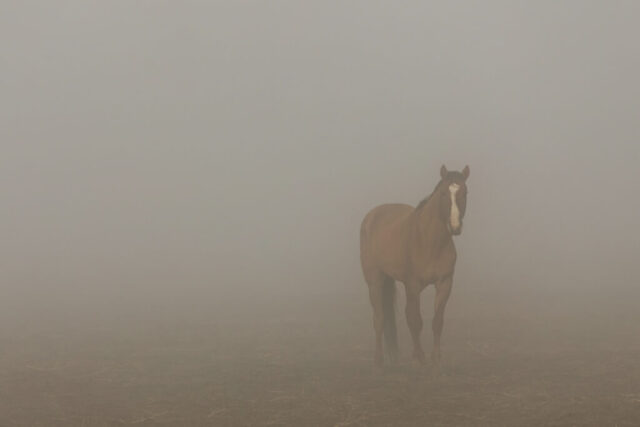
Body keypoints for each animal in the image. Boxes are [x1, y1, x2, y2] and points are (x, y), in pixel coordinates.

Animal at [360, 164, 470, 369]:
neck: (430, 241)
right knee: (379, 318)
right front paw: (420, 357)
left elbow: (437, 321)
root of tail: (371, 216)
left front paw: (435, 358)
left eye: (465, 192)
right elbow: (415, 320)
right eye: (443, 193)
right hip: (375, 281)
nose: (455, 226)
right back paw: (378, 360)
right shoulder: (413, 285)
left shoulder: (445, 283)